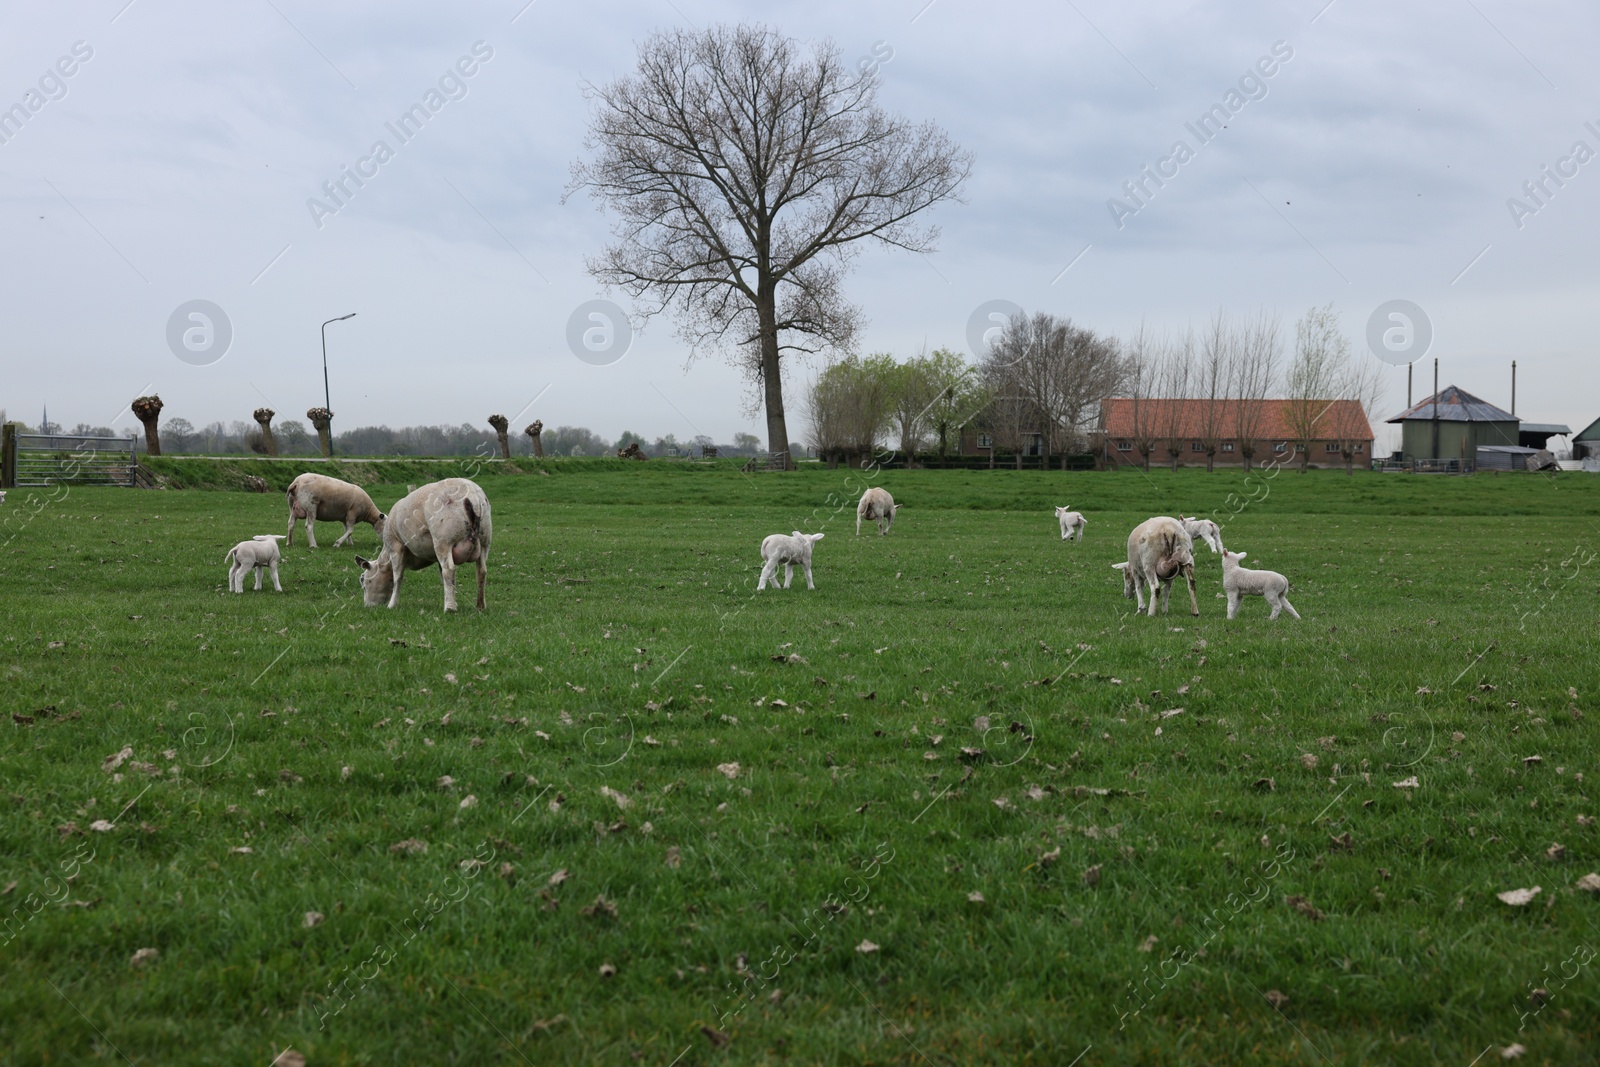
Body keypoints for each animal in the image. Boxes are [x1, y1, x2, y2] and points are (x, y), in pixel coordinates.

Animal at [356, 479, 492, 614]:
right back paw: (480, 605)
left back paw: (449, 608)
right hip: (485, 541)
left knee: (449, 570)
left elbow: (397, 577)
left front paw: (392, 604)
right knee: (481, 571)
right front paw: (450, 598)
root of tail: (473, 498)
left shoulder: (396, 546)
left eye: (363, 580)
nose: (368, 606)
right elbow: (443, 578)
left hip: (444, 541)